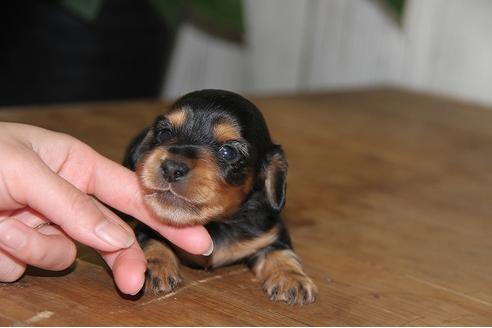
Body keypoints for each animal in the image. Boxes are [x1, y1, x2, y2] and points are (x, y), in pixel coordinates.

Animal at [125, 89, 318, 304]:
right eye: (164, 133)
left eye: (228, 152)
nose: (172, 168)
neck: (215, 224)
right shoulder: (146, 224)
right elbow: (152, 239)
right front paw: (153, 266)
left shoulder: (270, 232)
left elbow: (281, 252)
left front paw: (292, 279)